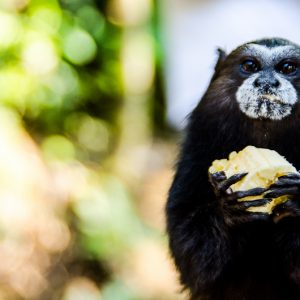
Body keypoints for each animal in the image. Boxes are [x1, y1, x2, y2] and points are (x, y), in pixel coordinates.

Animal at [165, 38, 300, 300]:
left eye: (288, 68)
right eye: (249, 65)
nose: (266, 82)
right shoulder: (197, 153)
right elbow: (193, 261)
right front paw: (230, 208)